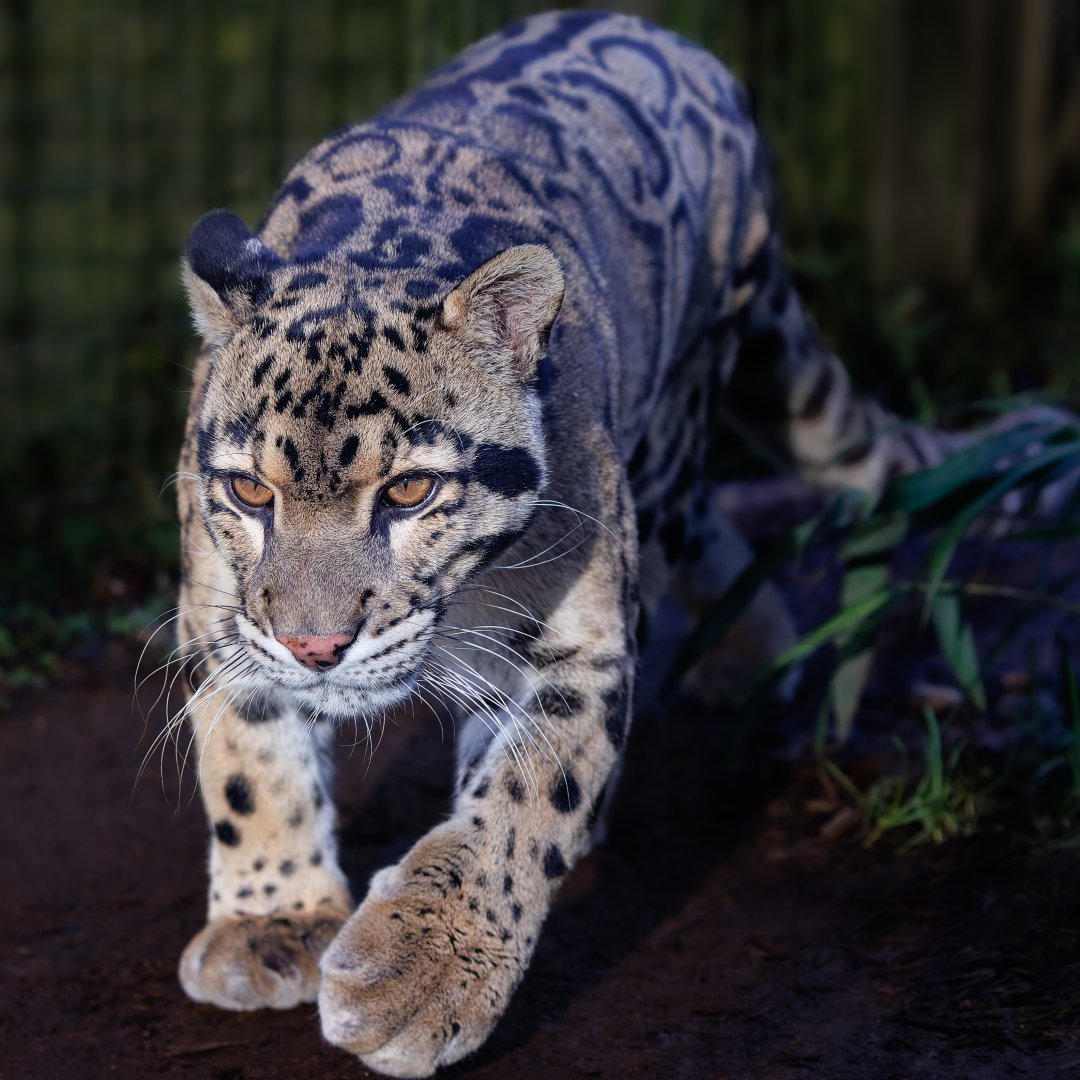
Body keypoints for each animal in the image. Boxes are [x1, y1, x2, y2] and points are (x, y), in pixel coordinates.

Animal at [170, 11, 1061, 1077]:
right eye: (249, 489)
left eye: (411, 489)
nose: (315, 646)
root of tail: (676, 42)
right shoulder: (220, 608)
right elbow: (248, 752)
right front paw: (274, 924)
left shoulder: (585, 641)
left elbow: (528, 795)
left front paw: (420, 975)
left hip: (675, 428)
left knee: (674, 529)